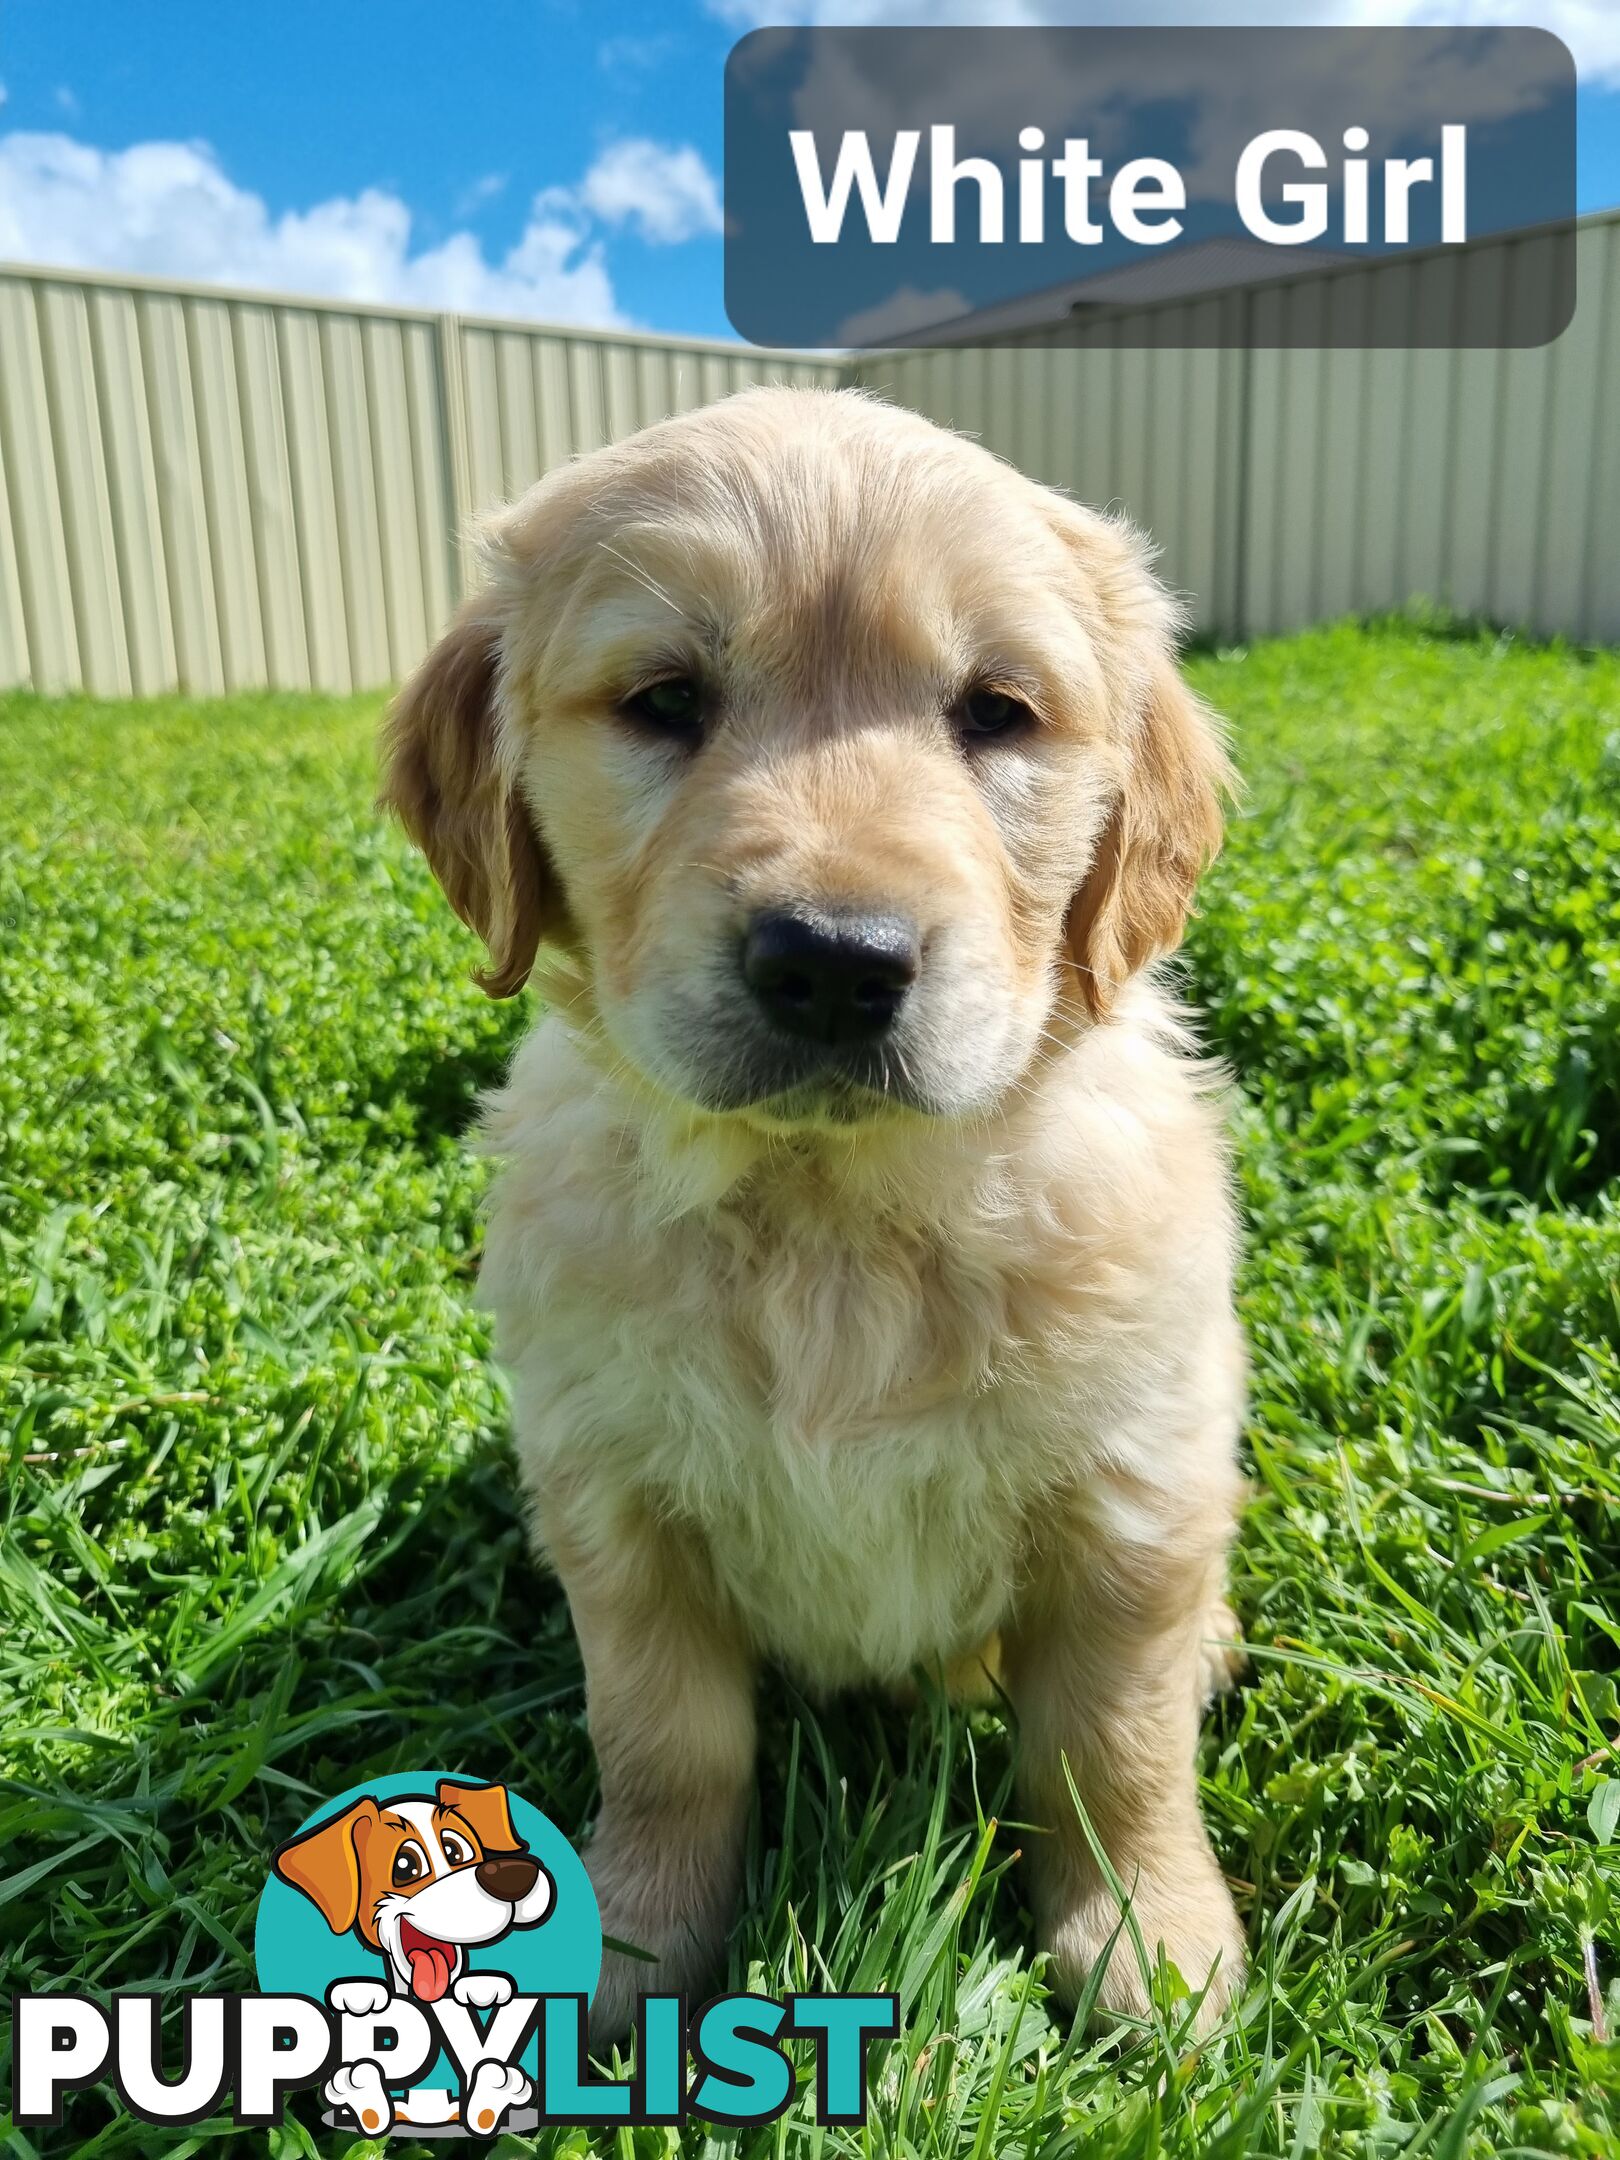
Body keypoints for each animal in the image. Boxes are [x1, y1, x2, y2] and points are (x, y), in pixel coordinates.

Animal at [386, 384, 1252, 2039]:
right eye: (666, 698)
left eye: (996, 711)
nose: (837, 961)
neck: (830, 1216)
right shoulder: (617, 1507)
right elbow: (669, 1747)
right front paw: (628, 1944)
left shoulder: (1130, 1500)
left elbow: (1111, 1749)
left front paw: (1152, 1945)